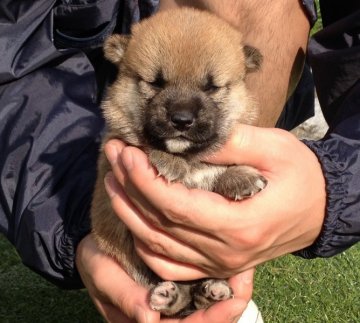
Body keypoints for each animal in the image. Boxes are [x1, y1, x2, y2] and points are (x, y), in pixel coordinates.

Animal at [91, 7, 266, 318]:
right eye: (155, 82)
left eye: (212, 87)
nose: (182, 119)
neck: (190, 159)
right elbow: (145, 145)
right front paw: (168, 161)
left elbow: (221, 167)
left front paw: (240, 177)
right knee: (181, 299)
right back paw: (167, 296)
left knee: (197, 294)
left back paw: (213, 290)